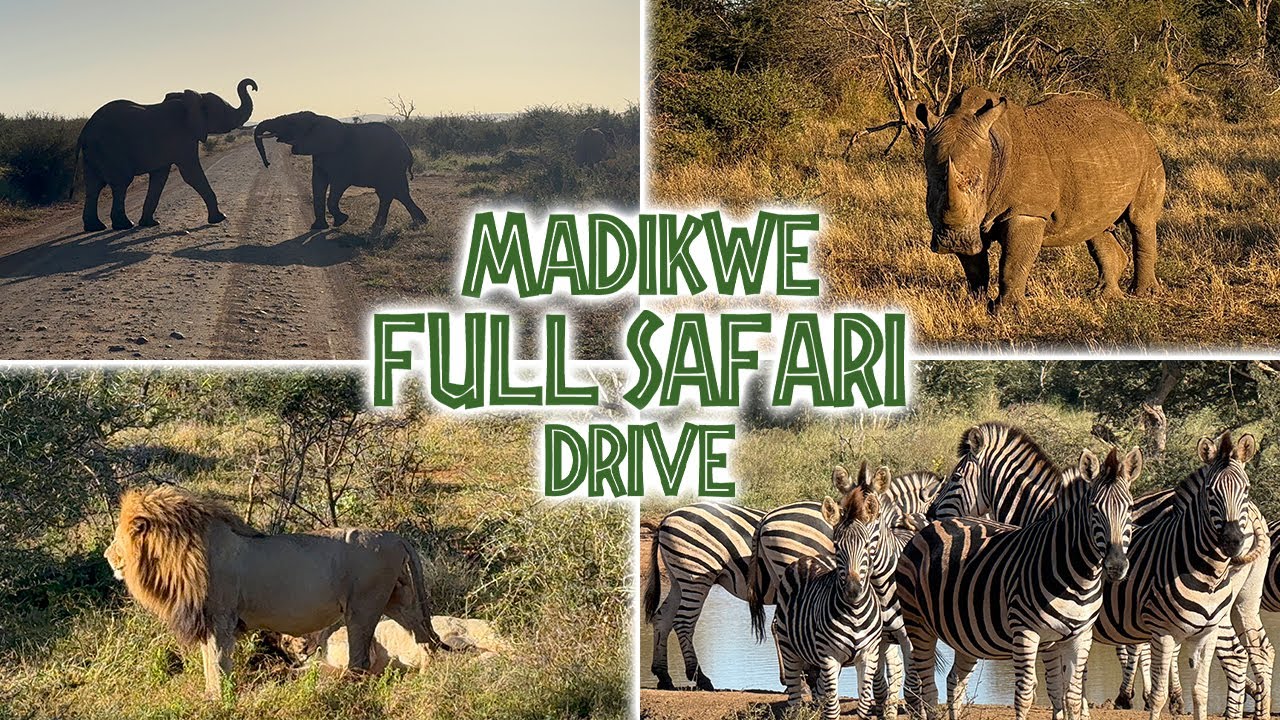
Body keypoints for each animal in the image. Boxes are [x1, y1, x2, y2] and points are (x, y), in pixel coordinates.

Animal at [77, 79, 257, 232]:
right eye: (225, 111)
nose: (253, 87)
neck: (193, 99)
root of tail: (84, 131)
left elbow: (160, 178)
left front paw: (150, 223)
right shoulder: (182, 137)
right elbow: (191, 174)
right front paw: (220, 218)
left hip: (93, 153)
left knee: (94, 186)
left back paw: (96, 227)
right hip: (110, 149)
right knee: (120, 183)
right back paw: (124, 225)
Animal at [254, 111, 426, 235]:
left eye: (292, 123)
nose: (268, 164)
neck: (318, 118)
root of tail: (408, 149)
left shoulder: (341, 158)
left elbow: (338, 184)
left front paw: (341, 220)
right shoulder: (319, 153)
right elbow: (318, 182)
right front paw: (318, 227)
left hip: (392, 165)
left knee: (393, 192)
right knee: (394, 193)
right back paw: (414, 223)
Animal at [912, 87, 1165, 314]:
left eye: (979, 187)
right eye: (930, 191)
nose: (953, 242)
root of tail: (1135, 124)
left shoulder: (1027, 211)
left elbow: (1013, 261)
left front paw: (1009, 312)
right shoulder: (969, 220)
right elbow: (974, 264)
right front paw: (975, 303)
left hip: (1148, 154)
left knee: (1140, 220)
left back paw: (1142, 294)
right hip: (1106, 161)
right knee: (1097, 228)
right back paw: (1103, 296)